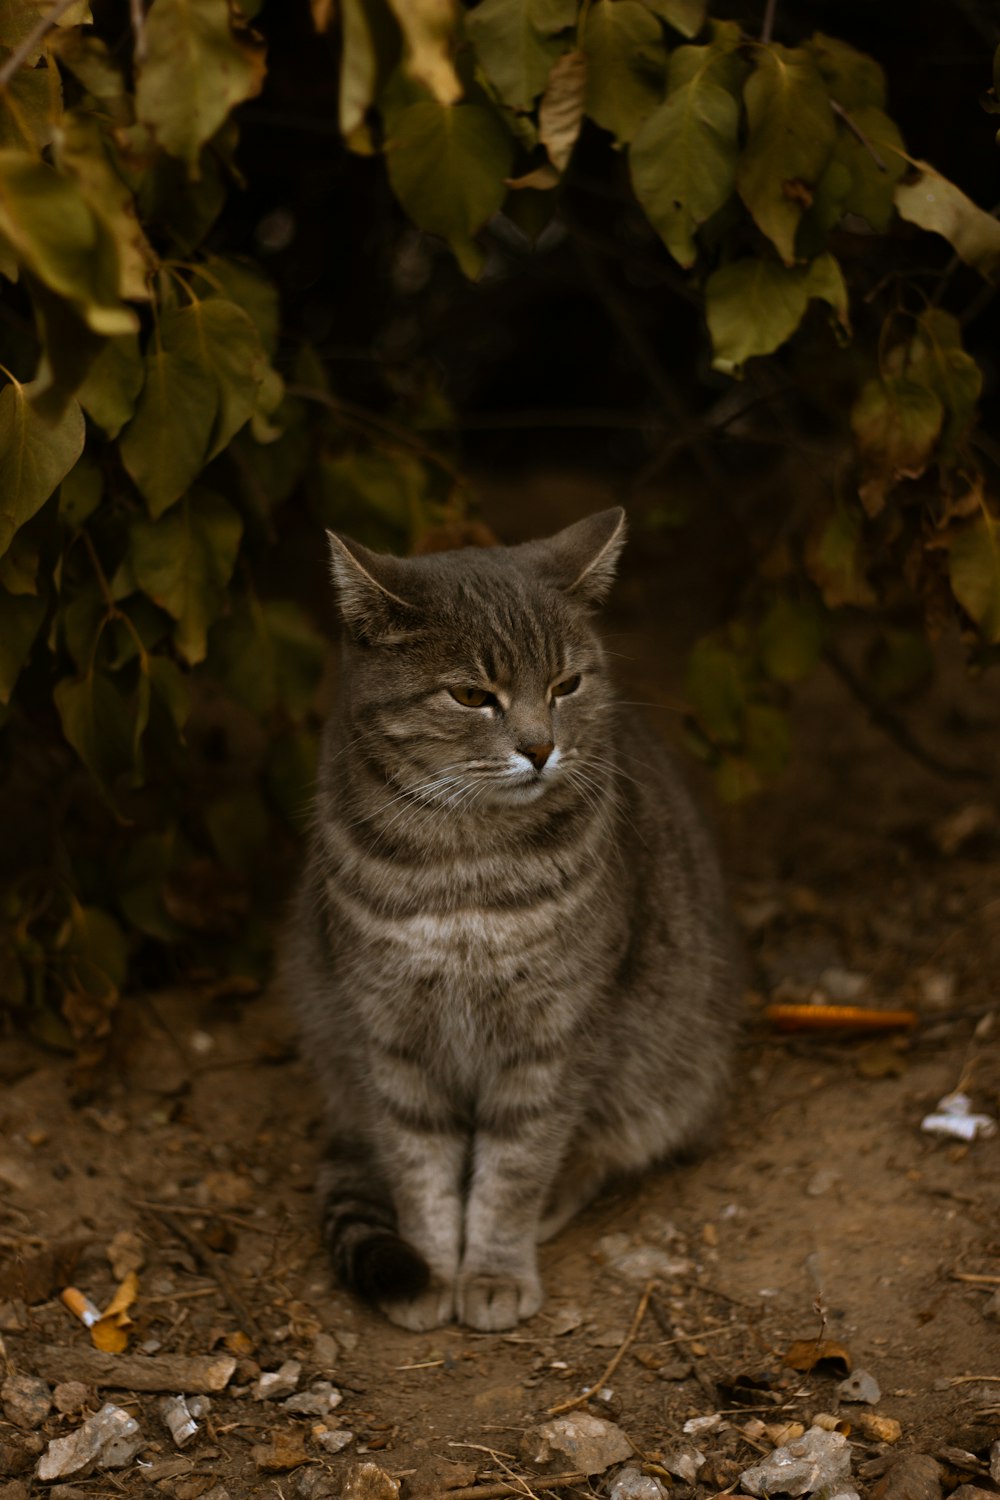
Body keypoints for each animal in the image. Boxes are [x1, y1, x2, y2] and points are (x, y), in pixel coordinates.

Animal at [281, 510, 743, 1332]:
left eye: (566, 684)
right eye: (471, 694)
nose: (539, 747)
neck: (466, 868)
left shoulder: (554, 1033)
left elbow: (516, 1165)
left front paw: (494, 1271)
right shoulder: (390, 1032)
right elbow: (417, 1164)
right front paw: (435, 1265)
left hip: (674, 1064)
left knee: (605, 1145)